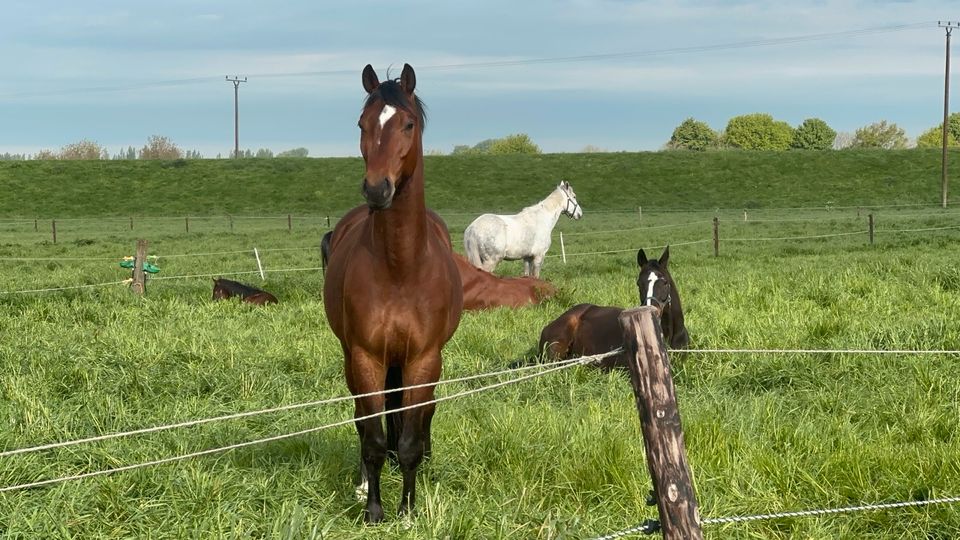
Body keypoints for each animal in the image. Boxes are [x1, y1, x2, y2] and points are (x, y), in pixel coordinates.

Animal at [320, 64, 464, 524]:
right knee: (366, 419)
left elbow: (411, 438)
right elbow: (374, 437)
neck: (401, 267)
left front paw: (409, 507)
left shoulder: (424, 359)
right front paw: (374, 507)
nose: (376, 190)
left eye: (408, 124)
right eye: (362, 124)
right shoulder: (366, 357)